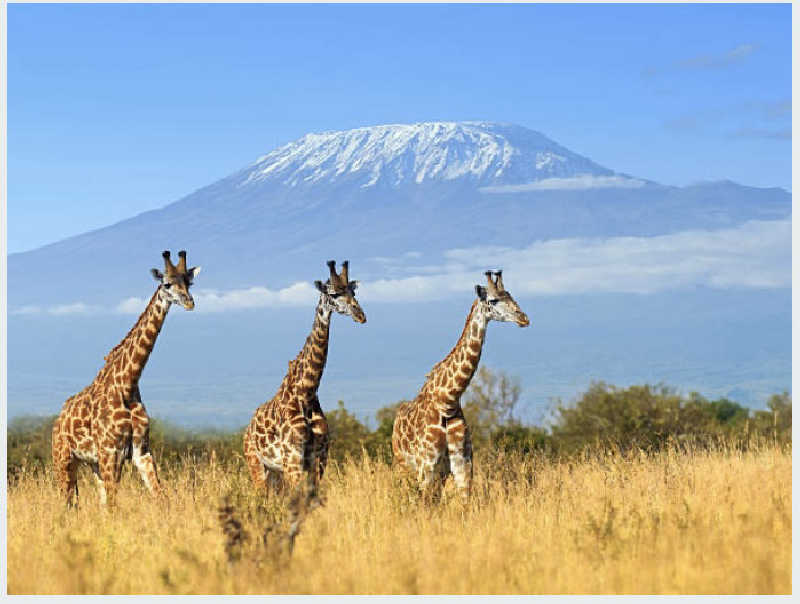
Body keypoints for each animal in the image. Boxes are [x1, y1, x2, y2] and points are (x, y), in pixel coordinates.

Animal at [51, 249, 202, 504]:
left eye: (188, 282)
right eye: (167, 284)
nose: (189, 302)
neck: (128, 384)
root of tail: (58, 420)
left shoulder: (141, 451)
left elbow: (161, 496)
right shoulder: (111, 451)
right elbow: (114, 504)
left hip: (92, 464)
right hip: (64, 458)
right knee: (68, 501)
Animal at [242, 260, 368, 496]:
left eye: (353, 292)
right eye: (334, 293)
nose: (360, 315)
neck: (307, 392)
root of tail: (247, 429)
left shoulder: (319, 458)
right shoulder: (293, 459)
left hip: (276, 472)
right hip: (256, 465)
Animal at [390, 272, 528, 502]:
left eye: (510, 295)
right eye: (493, 300)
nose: (523, 318)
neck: (448, 399)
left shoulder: (462, 462)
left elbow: (465, 503)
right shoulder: (426, 464)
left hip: (440, 472)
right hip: (405, 466)